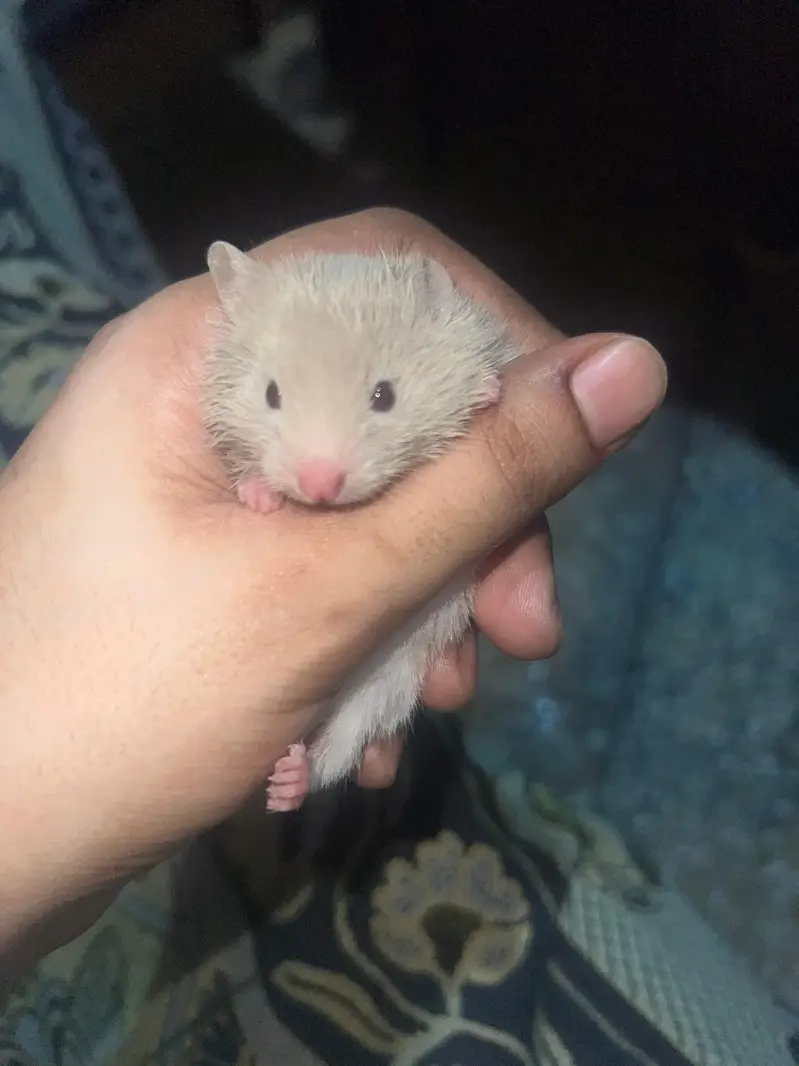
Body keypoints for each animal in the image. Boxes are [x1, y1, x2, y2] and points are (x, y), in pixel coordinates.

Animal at [203, 241, 520, 811]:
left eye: (384, 395)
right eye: (271, 394)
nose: (320, 485)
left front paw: (486, 393)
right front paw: (259, 496)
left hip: (389, 685)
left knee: (341, 748)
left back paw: (289, 783)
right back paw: (283, 786)